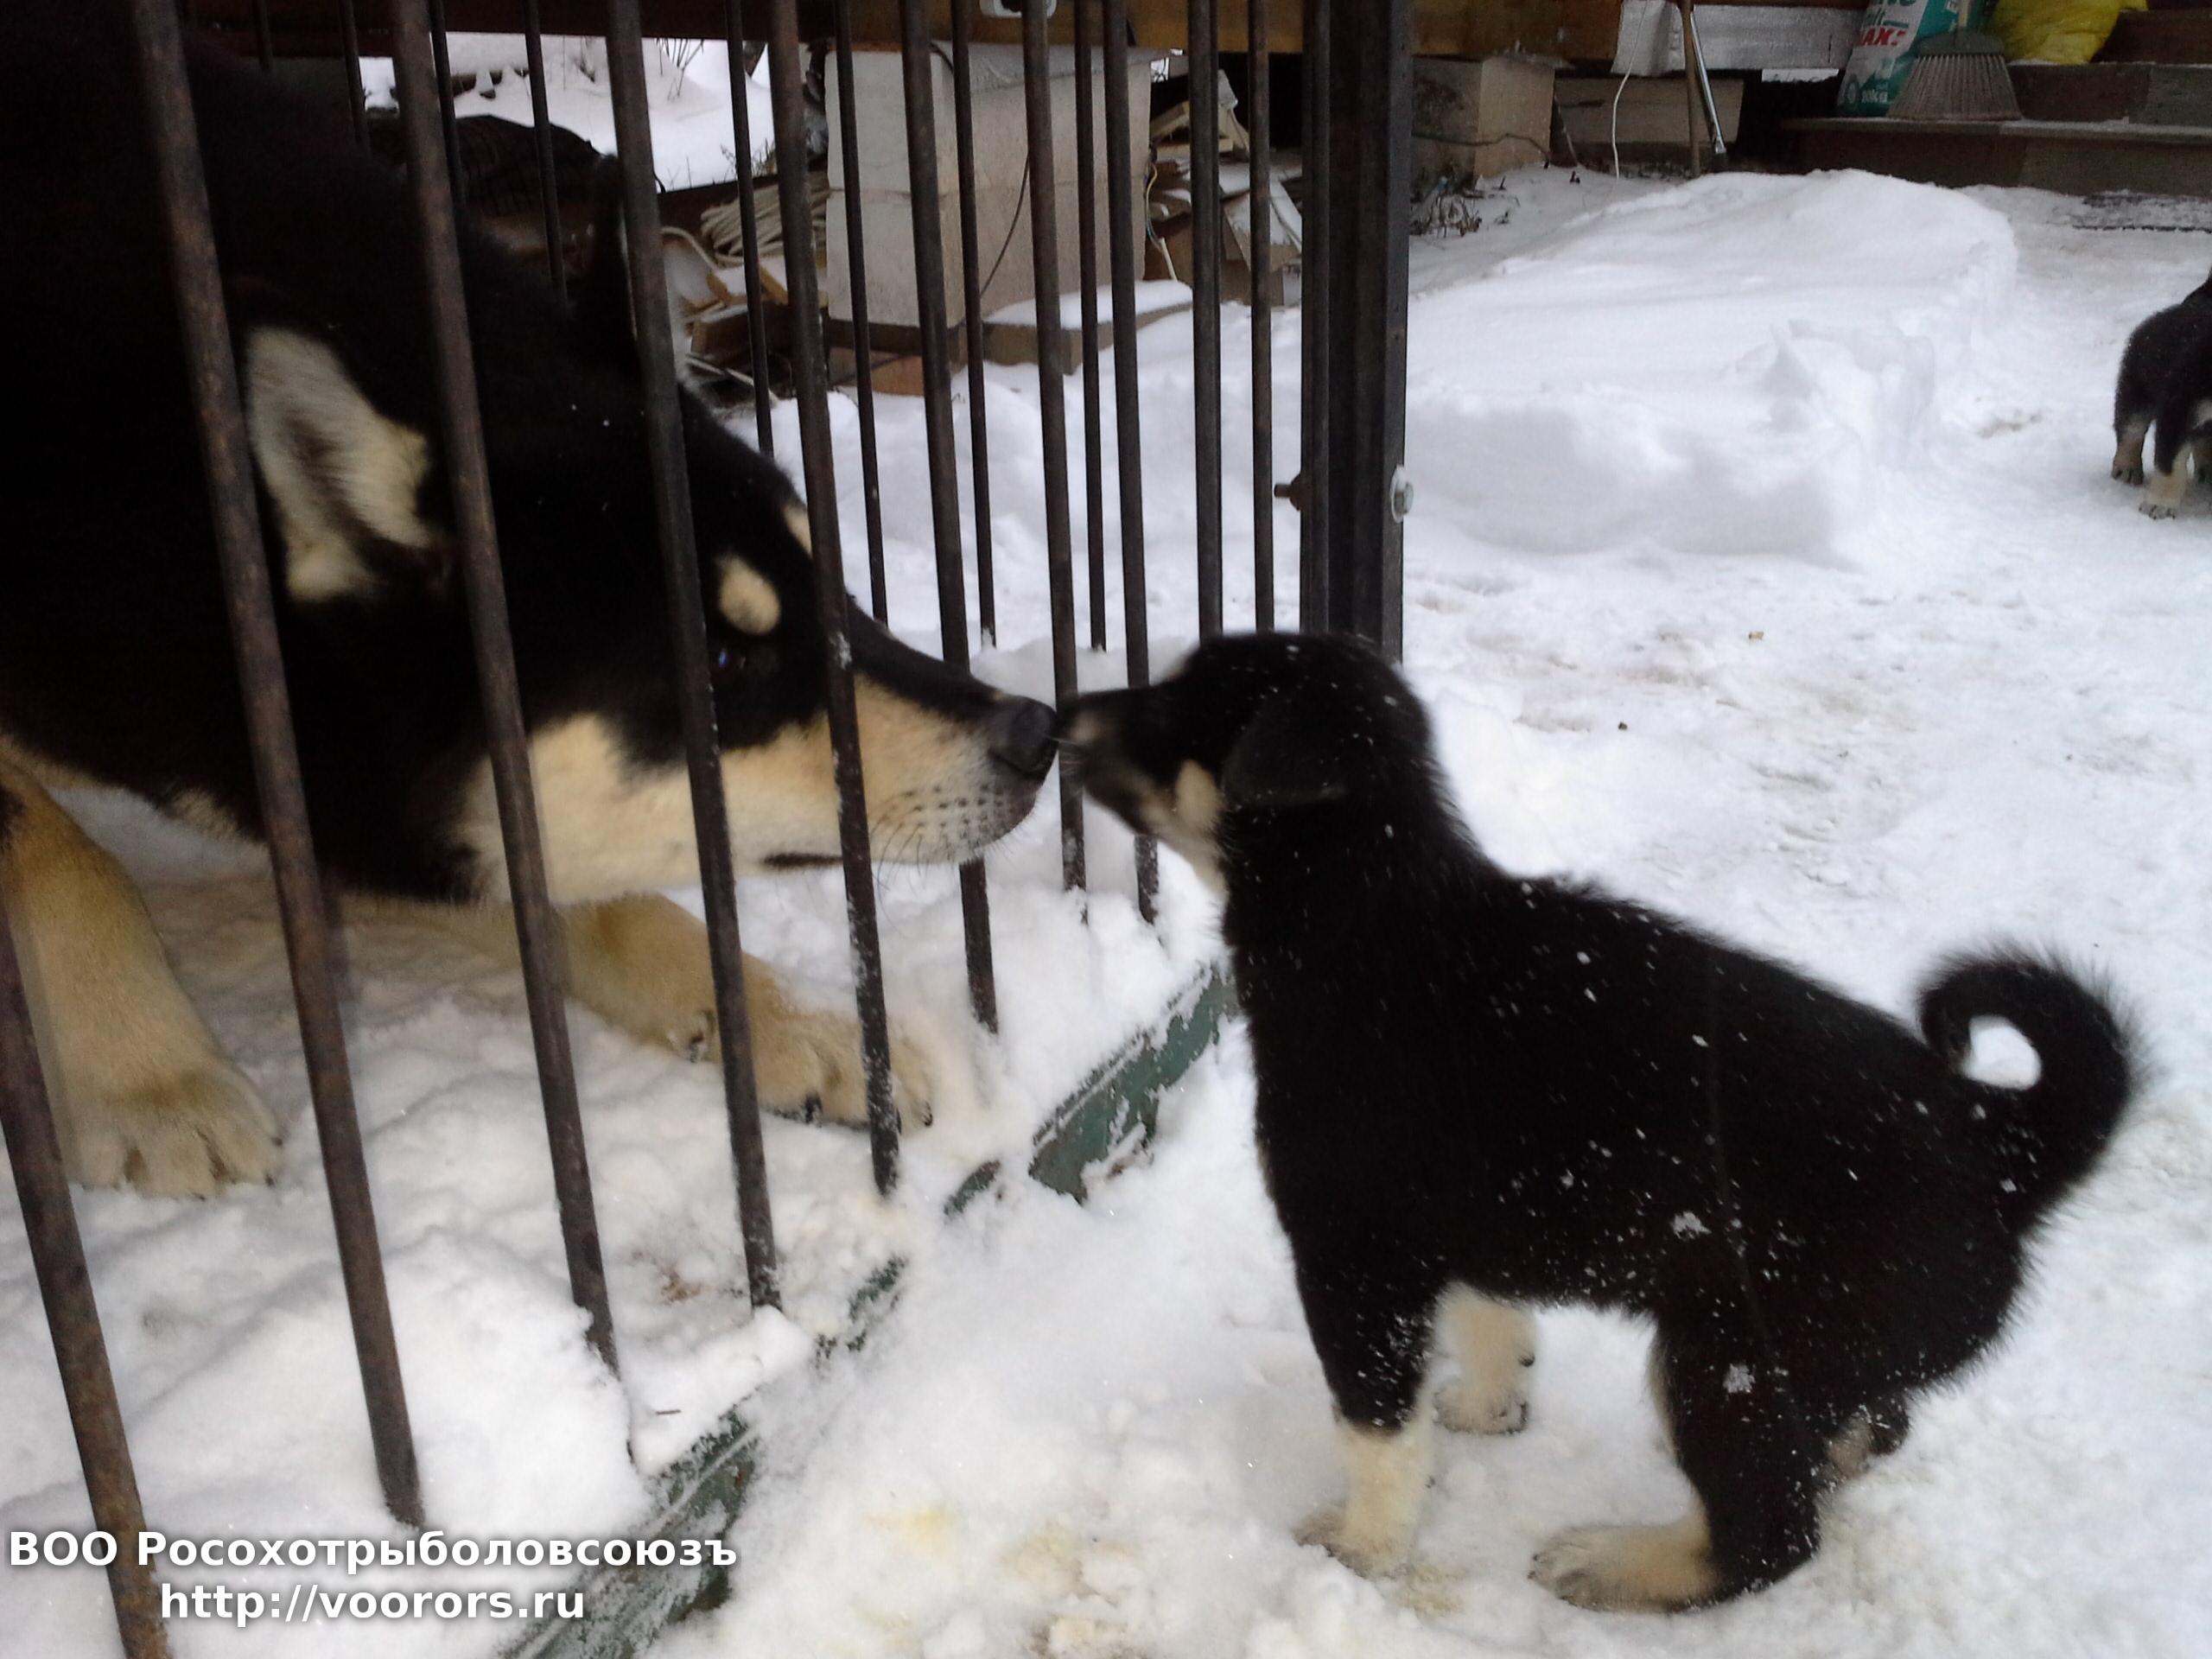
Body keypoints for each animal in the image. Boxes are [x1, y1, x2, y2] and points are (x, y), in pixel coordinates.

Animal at [0, 9, 1054, 1197]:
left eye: (826, 580)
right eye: (719, 665)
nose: (1038, 734)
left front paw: (783, 1019)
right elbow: (59, 854)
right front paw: (154, 1079)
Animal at [1061, 632, 2136, 1610]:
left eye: (1171, 710)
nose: (1058, 711)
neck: (1362, 914)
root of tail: (2003, 1143)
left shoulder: (1352, 1257)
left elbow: (1374, 1428)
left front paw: (1366, 1547)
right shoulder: (1458, 1224)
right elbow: (1491, 1321)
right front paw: (1492, 1407)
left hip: (1730, 1354)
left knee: (1771, 1535)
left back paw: (1617, 1564)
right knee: (1864, 1430)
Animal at [2115, 266, 2212, 518]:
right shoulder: (2179, 409)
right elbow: (2170, 464)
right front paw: (2159, 504)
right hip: (2136, 391)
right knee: (2130, 432)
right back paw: (2126, 468)